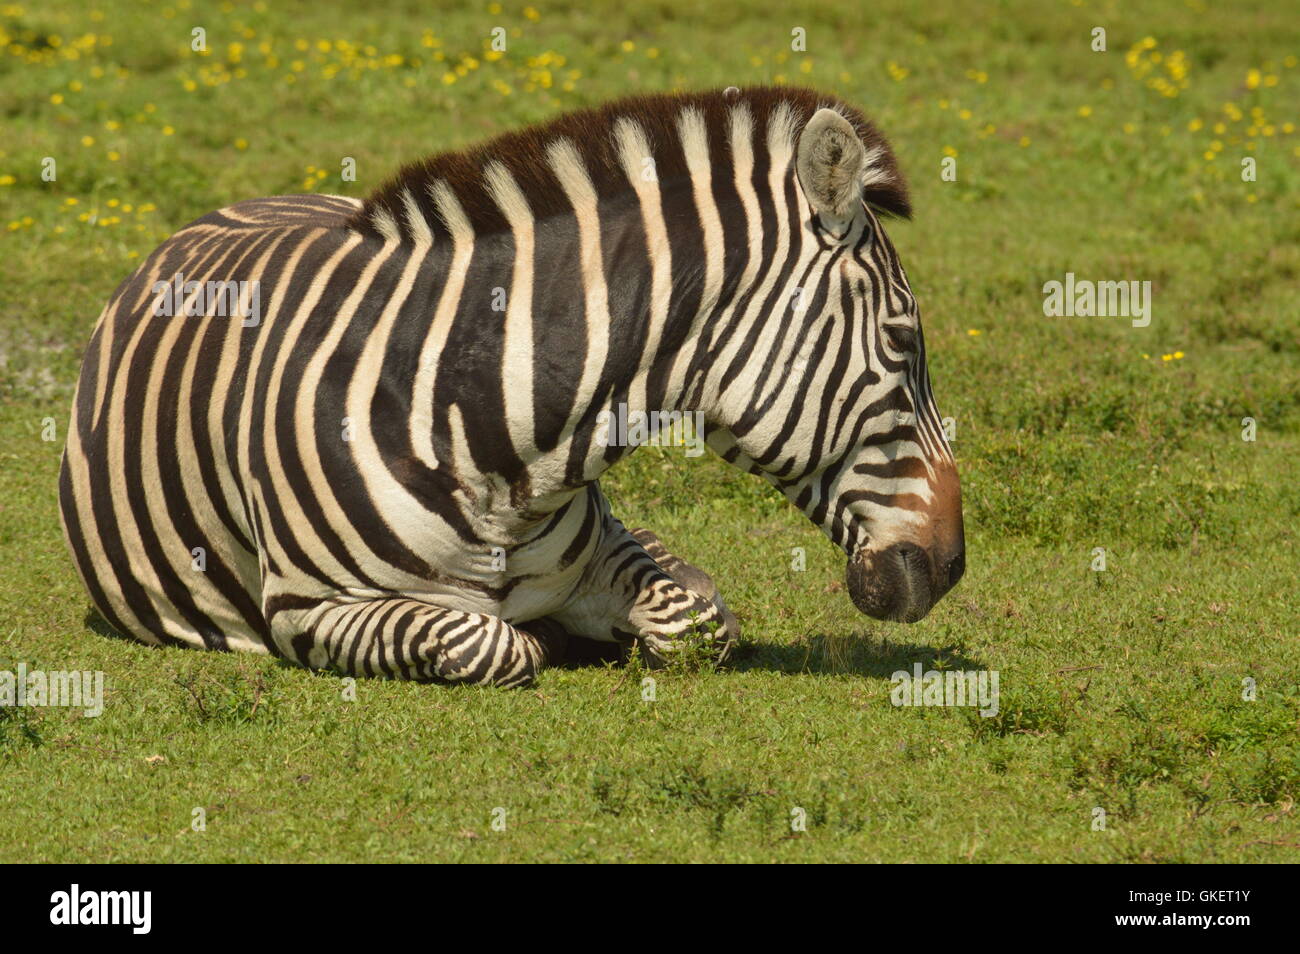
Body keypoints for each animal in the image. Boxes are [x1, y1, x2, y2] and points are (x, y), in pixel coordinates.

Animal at [55, 87, 961, 686]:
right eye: (901, 339)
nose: (951, 566)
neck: (485, 437)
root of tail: (240, 204)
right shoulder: (309, 609)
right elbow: (493, 643)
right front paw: (552, 641)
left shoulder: (608, 551)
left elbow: (696, 617)